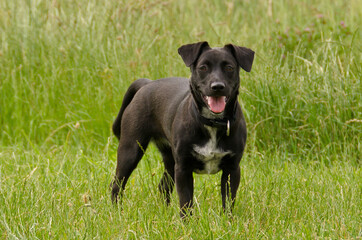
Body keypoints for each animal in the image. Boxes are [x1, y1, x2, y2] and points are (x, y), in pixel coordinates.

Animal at [111, 41, 255, 218]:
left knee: (163, 186)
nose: (217, 87)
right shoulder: (183, 169)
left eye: (229, 67)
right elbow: (186, 202)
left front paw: (227, 221)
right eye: (203, 67)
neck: (212, 123)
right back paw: (116, 213)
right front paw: (187, 223)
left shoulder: (232, 169)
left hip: (169, 160)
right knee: (117, 185)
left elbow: (228, 201)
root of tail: (147, 84)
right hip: (130, 150)